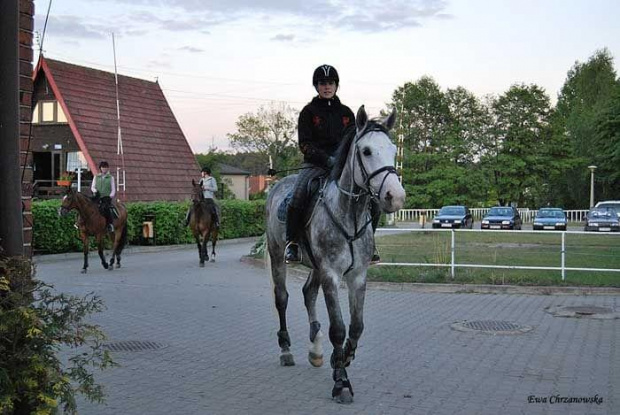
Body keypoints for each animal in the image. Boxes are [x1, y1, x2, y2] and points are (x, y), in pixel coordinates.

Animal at [266, 106, 406, 404]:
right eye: (366, 151)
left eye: (392, 149)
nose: (395, 197)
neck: (348, 214)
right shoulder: (331, 274)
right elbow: (338, 328)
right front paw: (341, 382)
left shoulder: (357, 276)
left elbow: (356, 326)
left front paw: (340, 358)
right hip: (278, 255)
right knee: (282, 298)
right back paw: (286, 350)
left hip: (314, 266)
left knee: (308, 293)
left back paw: (316, 351)